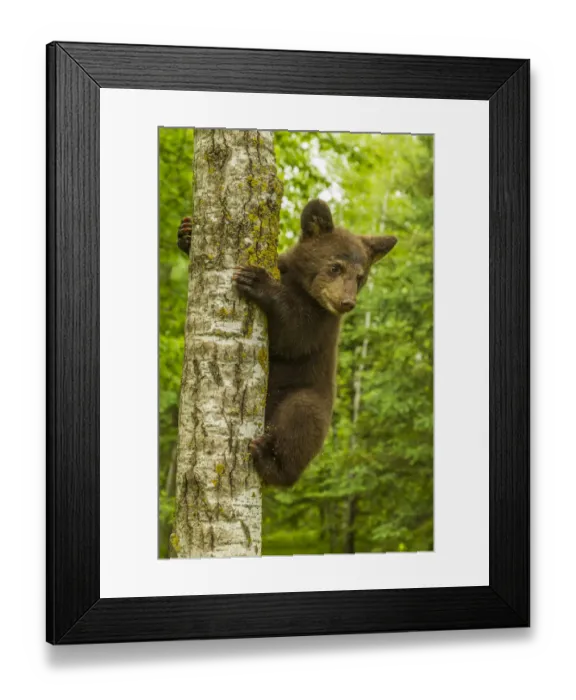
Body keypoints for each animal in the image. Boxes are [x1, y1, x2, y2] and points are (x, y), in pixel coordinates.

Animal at [178, 199, 397, 487]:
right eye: (336, 267)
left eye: (360, 277)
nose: (346, 302)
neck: (302, 286)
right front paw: (187, 232)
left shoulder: (322, 322)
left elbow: (293, 335)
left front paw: (256, 280)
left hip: (308, 401)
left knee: (300, 419)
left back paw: (269, 462)